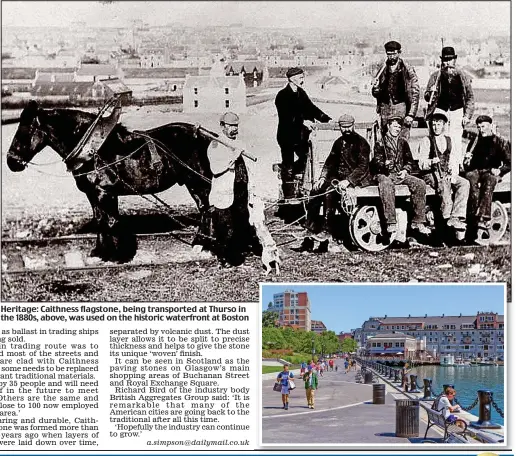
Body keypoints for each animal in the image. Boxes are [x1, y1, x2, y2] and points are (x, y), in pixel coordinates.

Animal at [7, 99, 256, 264]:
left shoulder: (105, 193)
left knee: (207, 211)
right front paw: (101, 252)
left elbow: (110, 222)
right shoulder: (94, 194)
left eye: (24, 131)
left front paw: (117, 255)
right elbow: (100, 220)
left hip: (198, 183)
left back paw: (202, 244)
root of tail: (211, 138)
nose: (11, 162)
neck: (94, 151)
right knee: (208, 211)